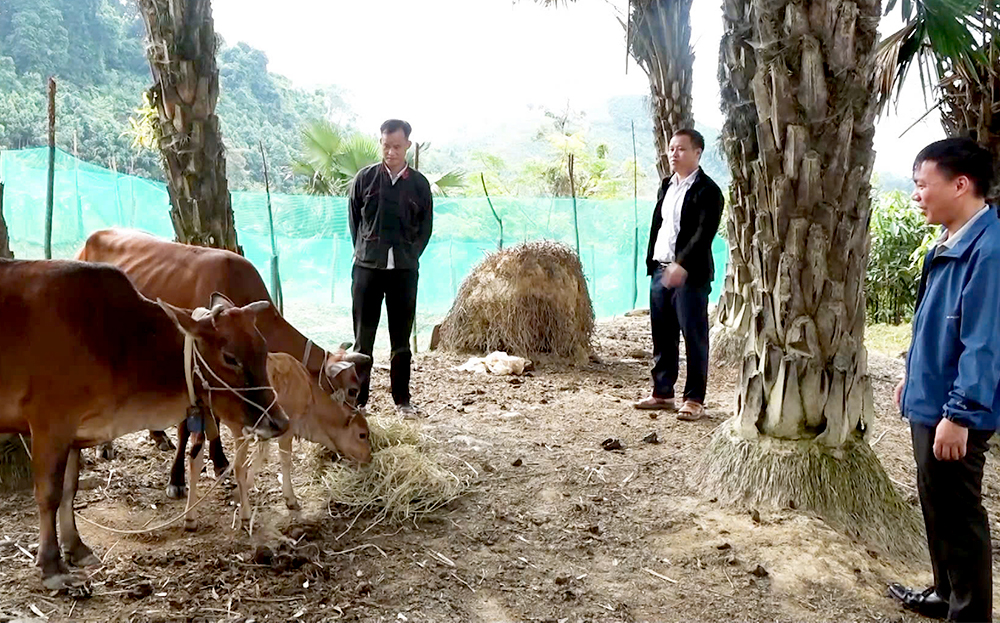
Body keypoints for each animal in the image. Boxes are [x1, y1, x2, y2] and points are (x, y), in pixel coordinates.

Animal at [0, 258, 290, 588]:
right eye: (230, 357)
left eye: (263, 349)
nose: (279, 422)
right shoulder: (50, 426)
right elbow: (49, 494)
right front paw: (51, 565)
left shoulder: (75, 433)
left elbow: (69, 490)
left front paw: (76, 548)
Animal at [74, 227, 372, 494]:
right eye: (352, 390)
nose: (358, 426)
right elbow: (187, 428)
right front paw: (177, 479)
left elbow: (214, 421)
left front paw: (219, 462)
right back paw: (105, 446)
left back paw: (156, 436)